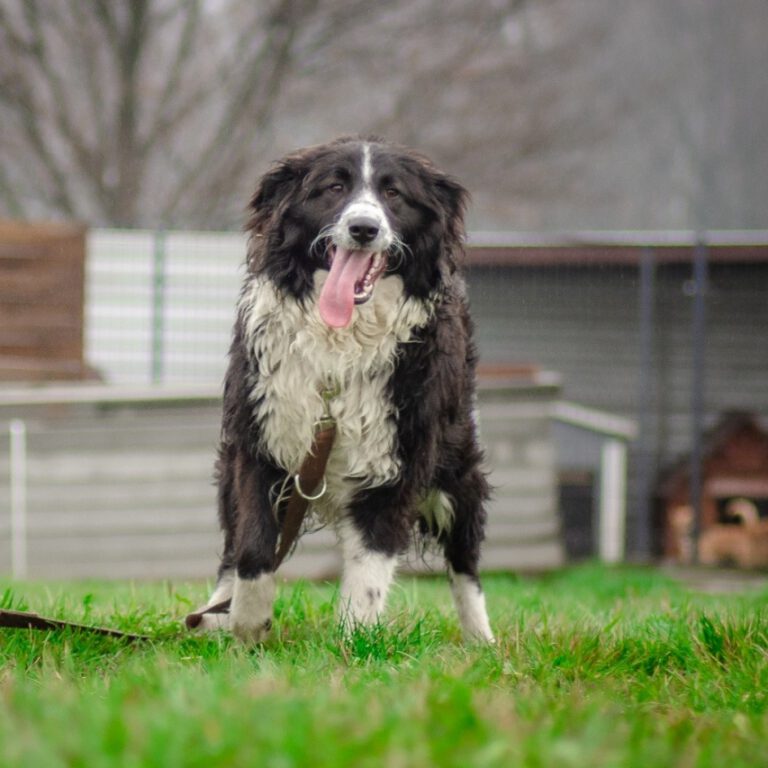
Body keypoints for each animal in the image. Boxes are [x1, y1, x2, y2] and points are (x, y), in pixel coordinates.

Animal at [196, 136, 492, 640]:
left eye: (393, 194)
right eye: (334, 187)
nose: (363, 228)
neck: (340, 343)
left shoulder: (394, 465)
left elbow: (368, 575)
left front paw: (355, 644)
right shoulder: (259, 439)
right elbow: (252, 546)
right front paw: (248, 622)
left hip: (455, 470)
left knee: (465, 562)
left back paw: (482, 640)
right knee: (231, 547)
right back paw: (215, 612)